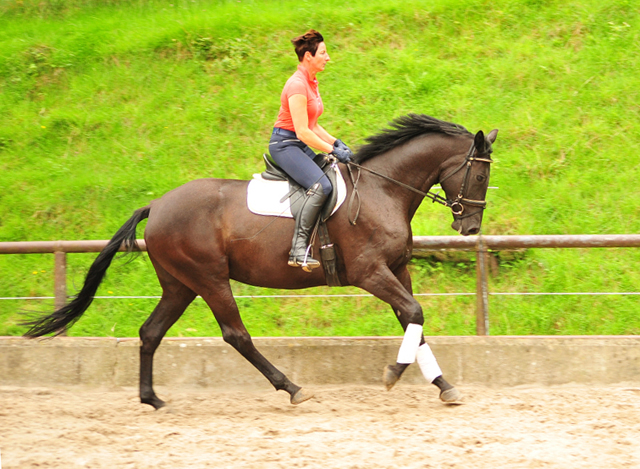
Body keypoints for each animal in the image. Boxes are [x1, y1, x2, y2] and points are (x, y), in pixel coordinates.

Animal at [23, 115, 496, 408]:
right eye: (480, 173)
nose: (470, 226)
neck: (384, 191)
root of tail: (157, 205)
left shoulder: (397, 270)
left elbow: (413, 321)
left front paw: (444, 387)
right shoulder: (370, 272)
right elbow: (414, 313)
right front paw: (394, 373)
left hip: (180, 284)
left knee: (150, 332)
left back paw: (152, 398)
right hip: (209, 278)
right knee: (236, 334)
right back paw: (292, 388)